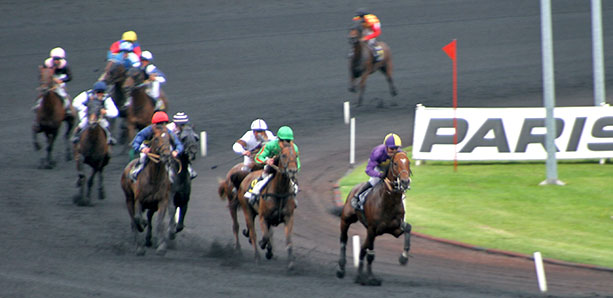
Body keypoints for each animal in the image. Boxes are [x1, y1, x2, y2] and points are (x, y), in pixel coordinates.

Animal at [120, 124, 173, 256]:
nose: (166, 155)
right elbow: (138, 219)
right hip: (129, 199)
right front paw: (141, 227)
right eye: (156, 139)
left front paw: (161, 247)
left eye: (169, 139)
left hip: (152, 205)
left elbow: (159, 223)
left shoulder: (162, 201)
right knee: (133, 221)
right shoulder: (138, 200)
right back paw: (139, 246)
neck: (155, 177)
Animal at [237, 140, 298, 270]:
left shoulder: (288, 217)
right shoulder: (263, 217)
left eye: (296, 155)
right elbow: (264, 237)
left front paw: (290, 262)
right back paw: (257, 256)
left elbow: (288, 240)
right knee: (253, 233)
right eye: (283, 155)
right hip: (247, 212)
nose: (292, 171)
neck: (280, 191)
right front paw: (262, 245)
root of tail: (246, 177)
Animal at [338, 151, 414, 286]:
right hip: (346, 220)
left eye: (408, 162)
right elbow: (369, 254)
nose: (405, 181)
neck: (389, 201)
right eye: (395, 163)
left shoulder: (394, 229)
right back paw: (341, 269)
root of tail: (354, 188)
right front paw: (369, 278)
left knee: (363, 249)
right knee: (343, 240)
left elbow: (408, 228)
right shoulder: (372, 229)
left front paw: (403, 257)